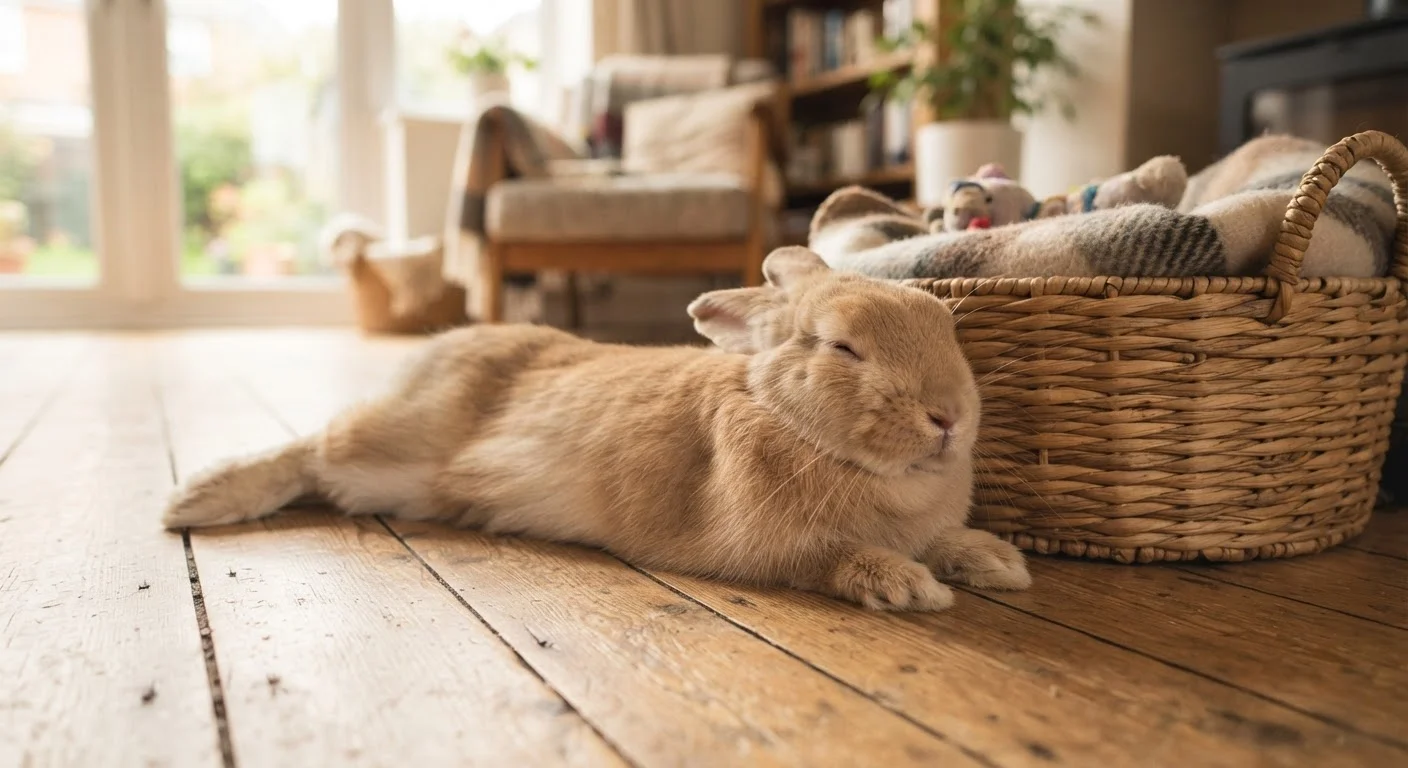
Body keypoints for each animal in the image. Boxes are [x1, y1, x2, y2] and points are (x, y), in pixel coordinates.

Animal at [162, 247, 1030, 611]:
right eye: (843, 347)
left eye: (946, 327)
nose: (949, 417)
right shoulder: (776, 550)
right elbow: (836, 559)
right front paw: (907, 587)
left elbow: (946, 540)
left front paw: (996, 561)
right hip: (389, 450)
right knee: (310, 451)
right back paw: (195, 499)